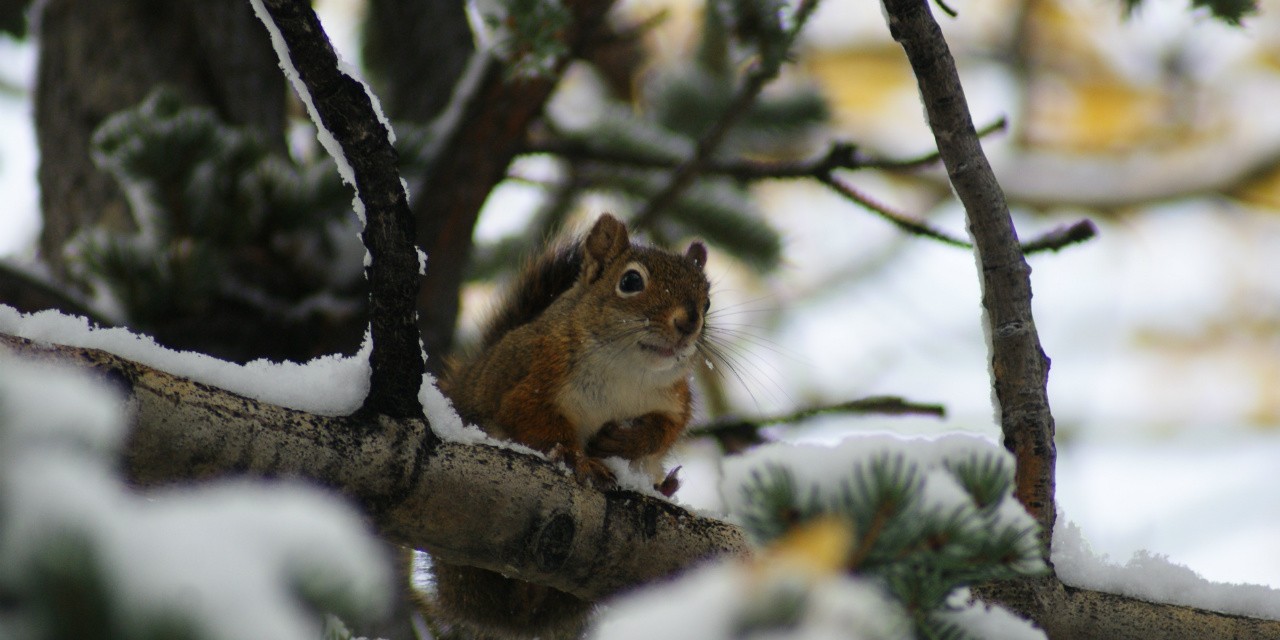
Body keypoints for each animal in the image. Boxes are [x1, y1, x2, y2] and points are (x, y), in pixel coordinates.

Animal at [431, 213, 711, 638]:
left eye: (707, 299)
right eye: (631, 281)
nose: (689, 321)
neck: (627, 372)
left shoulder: (675, 401)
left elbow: (665, 431)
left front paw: (627, 440)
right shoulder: (534, 378)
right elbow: (535, 422)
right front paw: (579, 459)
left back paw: (664, 486)